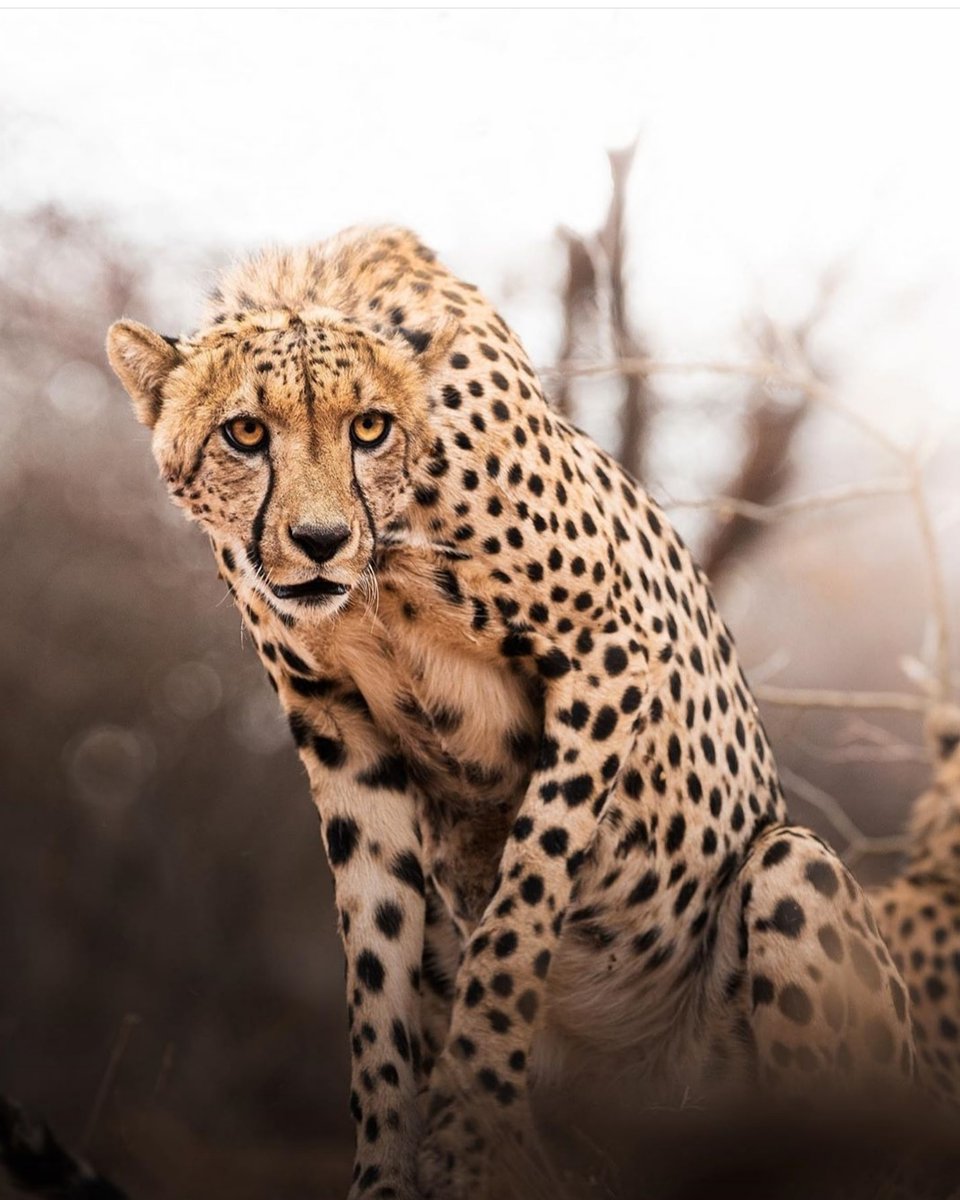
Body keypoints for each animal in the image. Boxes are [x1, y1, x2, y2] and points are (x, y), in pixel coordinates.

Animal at [106, 226, 914, 1200]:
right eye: (246, 433)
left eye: (368, 427)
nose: (320, 541)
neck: (380, 571)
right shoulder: (341, 731)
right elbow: (375, 973)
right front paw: (386, 1171)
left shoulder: (611, 652)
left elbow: (524, 900)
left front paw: (468, 1116)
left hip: (794, 869)